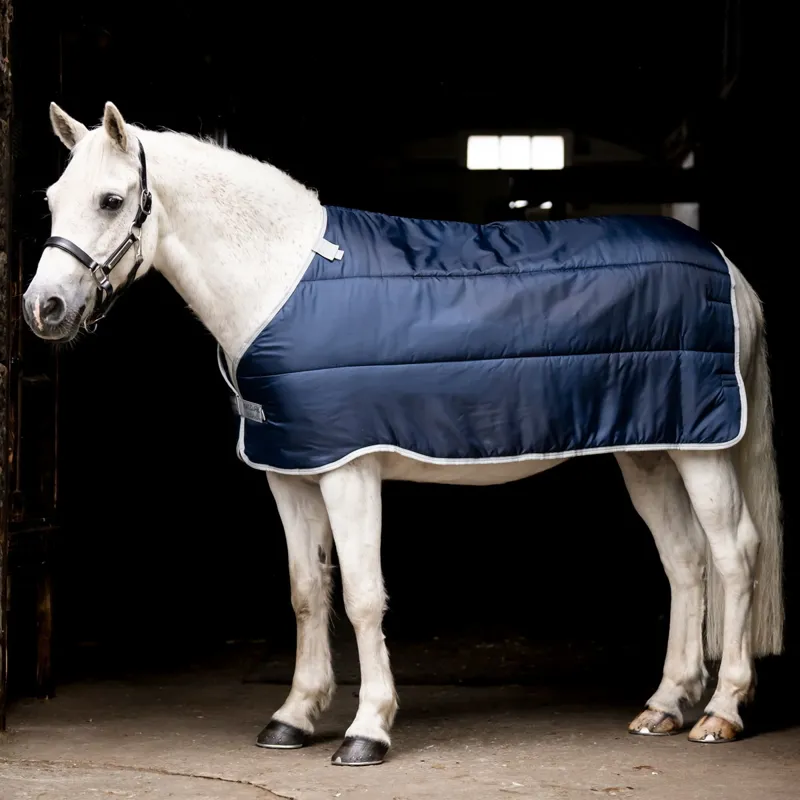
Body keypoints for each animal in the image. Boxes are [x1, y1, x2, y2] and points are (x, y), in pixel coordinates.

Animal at [22, 101, 783, 767]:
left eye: (112, 200)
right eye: (54, 198)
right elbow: (307, 591)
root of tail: (727, 267)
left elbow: (362, 596)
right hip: (648, 450)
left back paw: (721, 711)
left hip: (700, 451)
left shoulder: (348, 469)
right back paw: (665, 705)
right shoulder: (290, 469)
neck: (283, 278)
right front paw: (294, 717)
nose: (43, 308)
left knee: (733, 554)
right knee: (683, 559)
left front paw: (368, 731)